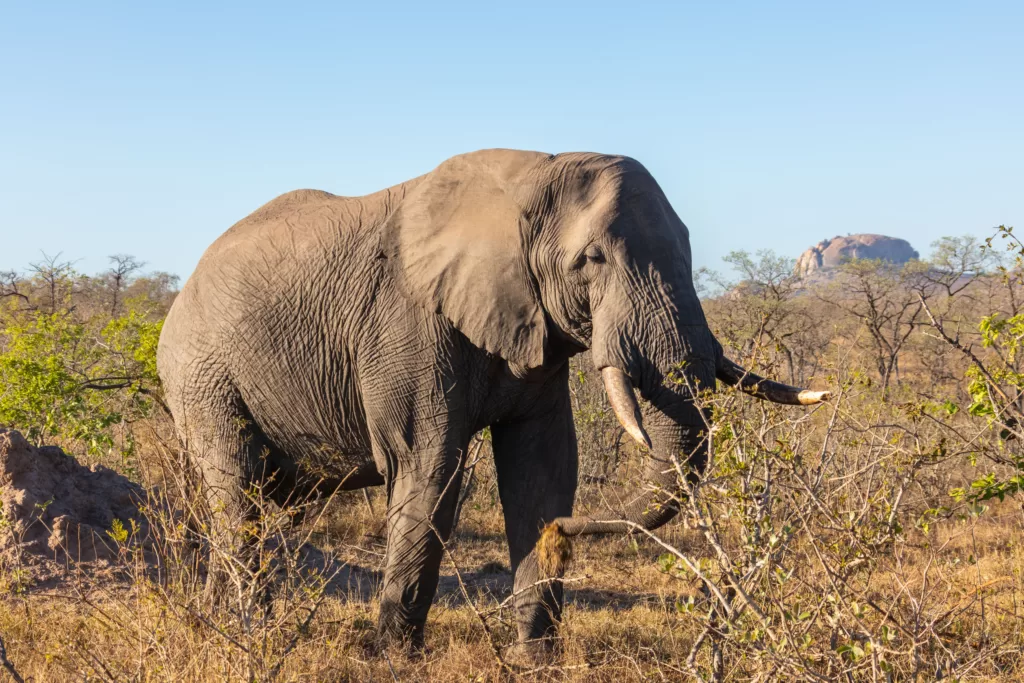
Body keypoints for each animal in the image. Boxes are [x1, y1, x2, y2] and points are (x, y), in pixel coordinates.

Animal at [157, 149, 831, 663]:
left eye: (690, 248)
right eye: (592, 260)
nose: (567, 532)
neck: (531, 179)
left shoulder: (536, 327)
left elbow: (543, 468)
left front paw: (534, 659)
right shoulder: (407, 326)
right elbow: (428, 466)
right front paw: (392, 660)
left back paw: (217, 620)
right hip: (201, 377)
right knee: (238, 490)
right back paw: (249, 633)